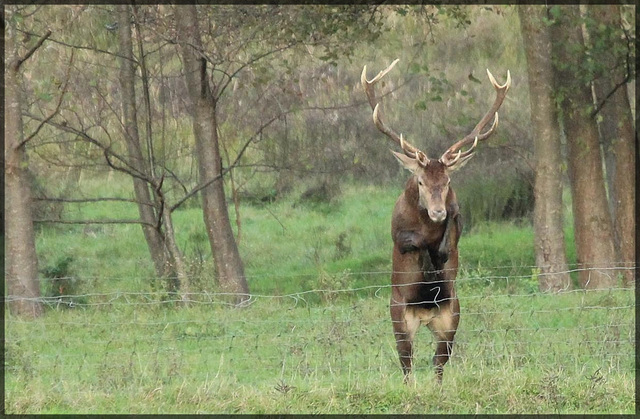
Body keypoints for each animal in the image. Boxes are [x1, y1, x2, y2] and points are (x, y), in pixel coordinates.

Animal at [362, 59, 512, 384]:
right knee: (407, 362)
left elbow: (451, 236)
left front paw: (441, 243)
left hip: (451, 316)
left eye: (447, 181)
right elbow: (413, 240)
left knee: (439, 361)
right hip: (400, 315)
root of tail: (426, 316)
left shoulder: (457, 225)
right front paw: (429, 255)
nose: (437, 212)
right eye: (420, 181)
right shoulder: (398, 234)